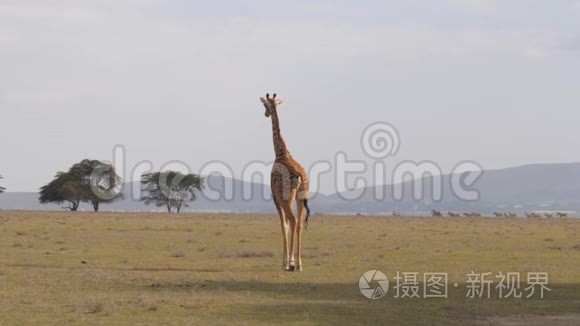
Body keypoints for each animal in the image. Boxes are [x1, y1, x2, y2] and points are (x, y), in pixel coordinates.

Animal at [260, 93, 310, 272]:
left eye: (266, 105)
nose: (266, 114)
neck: (281, 152)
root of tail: (300, 176)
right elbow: (289, 224)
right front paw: (291, 261)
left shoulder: (275, 197)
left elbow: (283, 225)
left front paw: (285, 262)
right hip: (301, 197)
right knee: (300, 223)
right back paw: (300, 264)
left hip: (287, 197)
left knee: (293, 220)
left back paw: (292, 264)